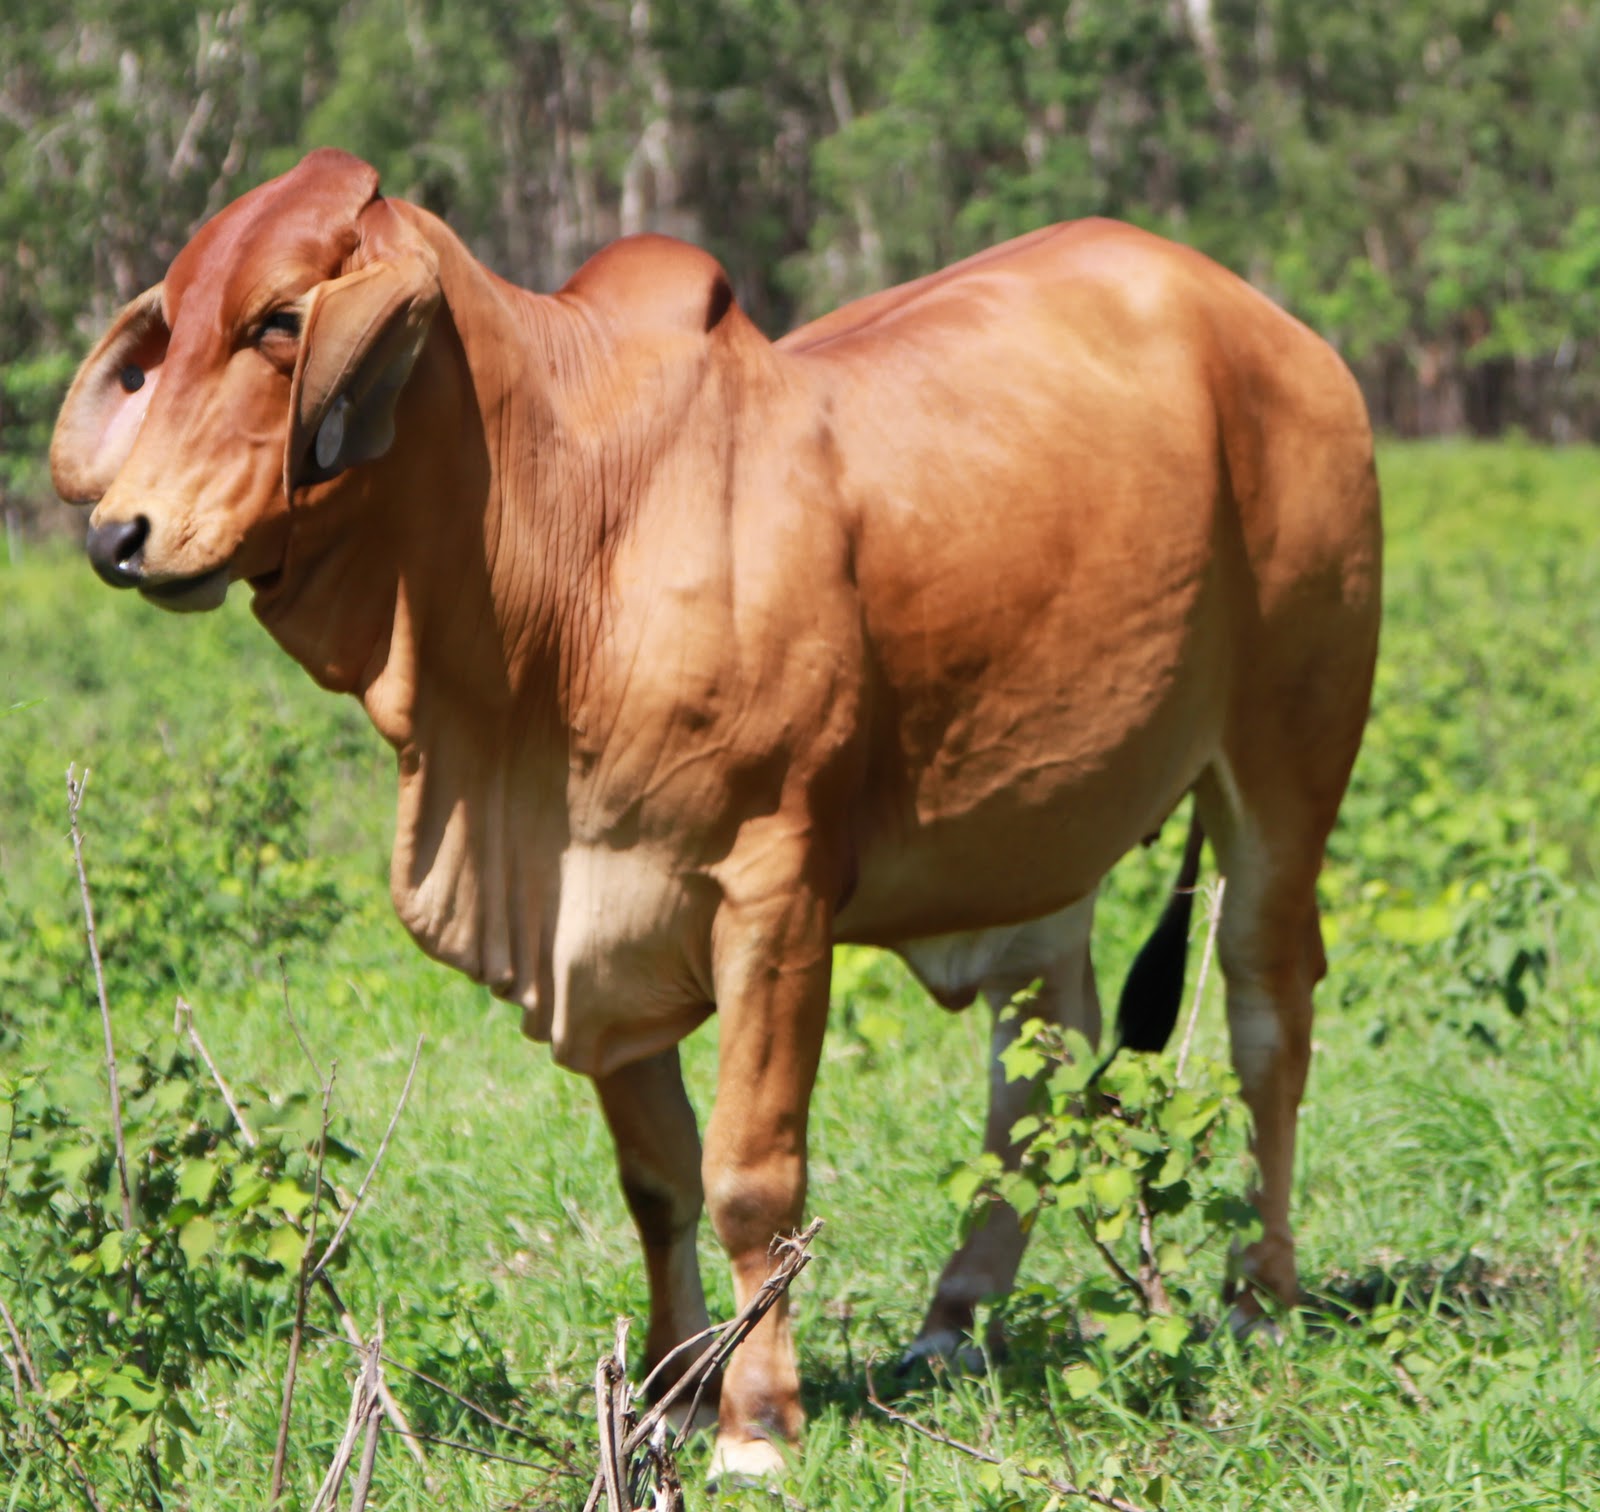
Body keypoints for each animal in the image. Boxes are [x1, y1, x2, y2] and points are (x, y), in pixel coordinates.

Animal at [52, 148, 1381, 1479]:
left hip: (1285, 761)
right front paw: (677, 1390)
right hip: (1038, 826)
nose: (120, 535)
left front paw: (756, 1420)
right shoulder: (594, 910)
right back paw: (953, 1318)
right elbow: (658, 1180)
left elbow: (750, 1173)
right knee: (1039, 1046)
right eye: (172, 329)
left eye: (280, 322)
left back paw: (1257, 1297)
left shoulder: (773, 897)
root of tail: (1279, 333)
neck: (563, 533)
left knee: (1267, 1016)